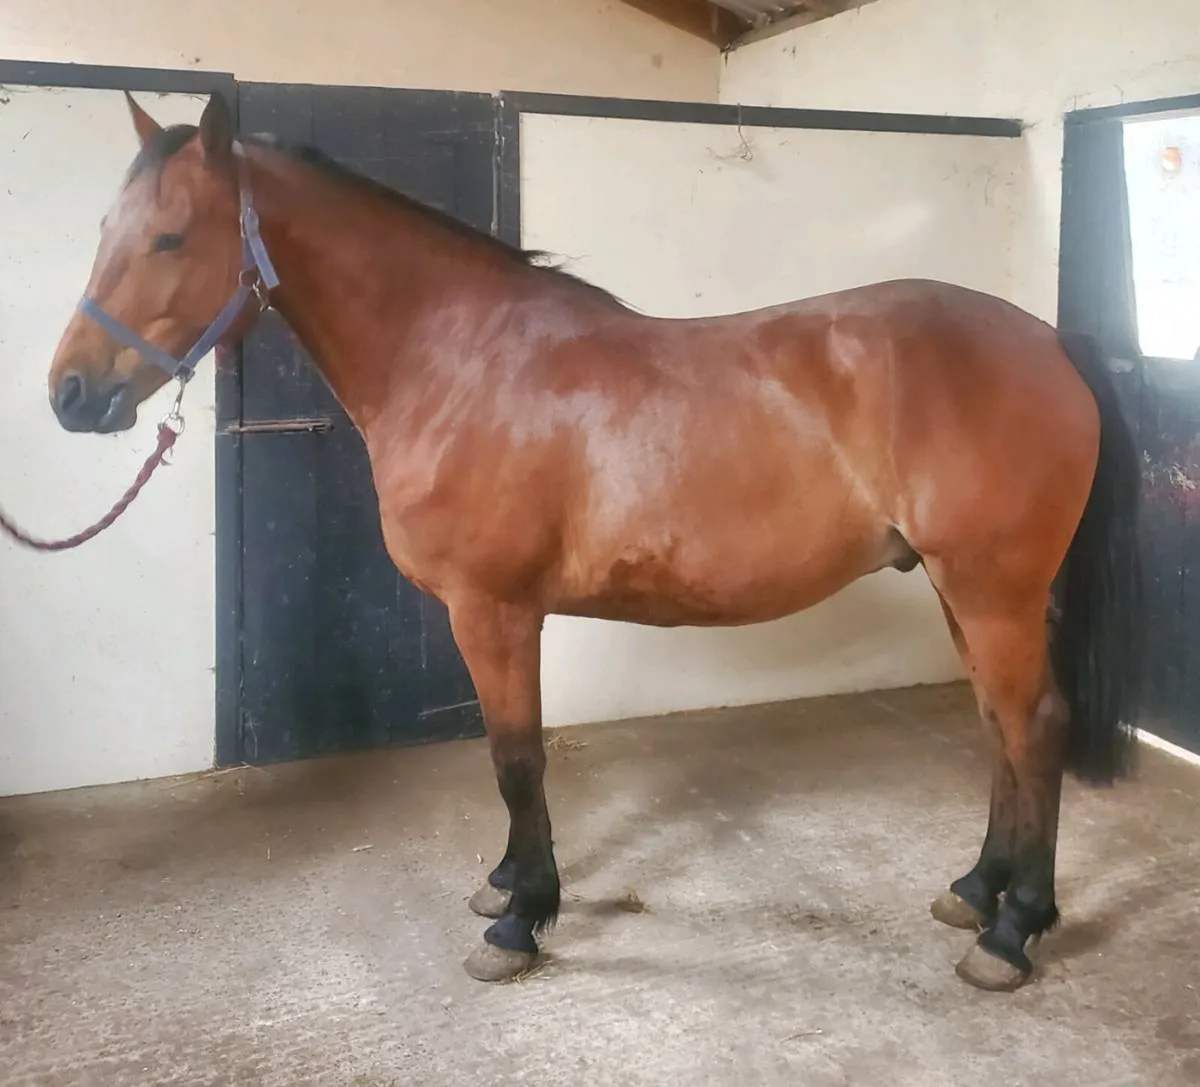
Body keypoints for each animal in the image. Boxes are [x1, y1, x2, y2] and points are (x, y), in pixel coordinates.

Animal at [44, 91, 1143, 993]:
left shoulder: (492, 611)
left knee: (1035, 726)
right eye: (105, 230)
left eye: (171, 238)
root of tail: (1049, 343)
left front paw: (520, 919)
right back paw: (978, 888)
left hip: (994, 590)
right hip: (963, 591)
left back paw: (1014, 931)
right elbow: (513, 759)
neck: (458, 360)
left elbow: (517, 758)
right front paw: (505, 884)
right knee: (1001, 729)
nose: (70, 396)